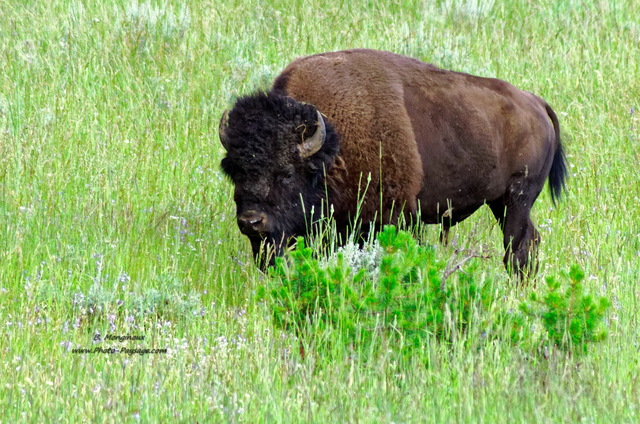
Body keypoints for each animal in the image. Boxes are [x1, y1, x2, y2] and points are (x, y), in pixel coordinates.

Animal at [219, 48, 564, 276]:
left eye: (287, 173)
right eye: (234, 171)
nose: (251, 222)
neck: (333, 145)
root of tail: (534, 103)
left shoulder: (389, 218)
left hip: (517, 199)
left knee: (517, 249)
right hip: (501, 203)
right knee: (530, 243)